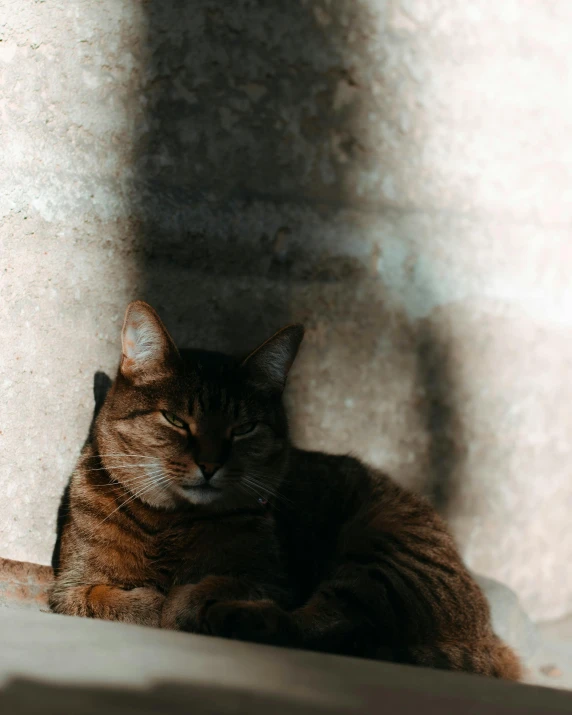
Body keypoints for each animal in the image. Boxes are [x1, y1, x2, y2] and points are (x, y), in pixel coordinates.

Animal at [49, 302, 520, 684]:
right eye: (175, 420)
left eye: (244, 428)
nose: (210, 465)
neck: (172, 522)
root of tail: (489, 638)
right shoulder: (70, 585)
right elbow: (105, 598)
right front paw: (154, 602)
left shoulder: (273, 579)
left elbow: (211, 585)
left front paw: (183, 603)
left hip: (380, 557)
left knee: (319, 627)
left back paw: (234, 617)